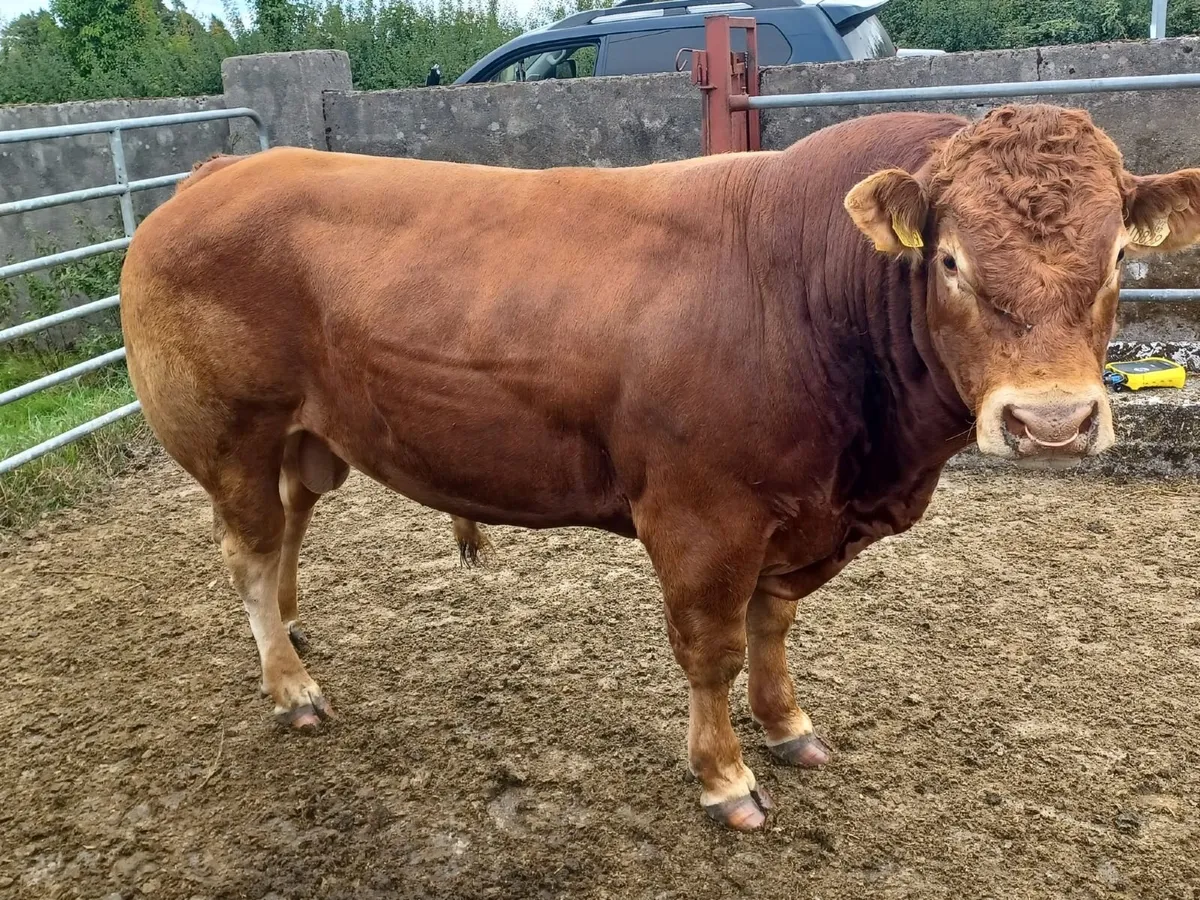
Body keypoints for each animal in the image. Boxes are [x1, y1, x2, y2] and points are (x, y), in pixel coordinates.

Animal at [119, 104, 1200, 830]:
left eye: (1115, 257)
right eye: (949, 263)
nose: (1052, 421)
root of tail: (224, 168)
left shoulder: (795, 514)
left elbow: (773, 629)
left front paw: (788, 726)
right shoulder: (701, 516)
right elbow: (711, 651)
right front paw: (725, 777)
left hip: (307, 439)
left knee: (287, 529)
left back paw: (296, 637)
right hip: (229, 435)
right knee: (249, 554)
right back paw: (290, 687)